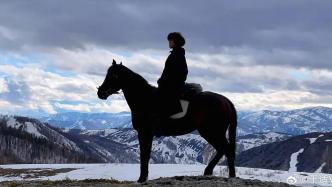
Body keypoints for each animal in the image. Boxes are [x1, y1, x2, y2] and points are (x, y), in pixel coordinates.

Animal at [97, 60, 237, 183]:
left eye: (114, 75)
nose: (100, 92)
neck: (144, 99)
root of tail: (225, 100)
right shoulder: (146, 134)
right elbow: (145, 155)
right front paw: (143, 177)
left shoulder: (145, 133)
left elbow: (144, 155)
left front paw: (142, 178)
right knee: (223, 149)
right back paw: (217, 173)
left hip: (212, 132)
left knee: (226, 149)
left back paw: (222, 174)